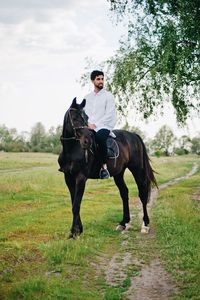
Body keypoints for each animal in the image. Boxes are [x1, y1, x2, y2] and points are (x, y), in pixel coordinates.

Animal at [58, 98, 157, 239]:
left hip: (137, 169)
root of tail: (134, 135)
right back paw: (123, 223)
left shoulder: (81, 177)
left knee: (142, 193)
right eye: (75, 118)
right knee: (124, 193)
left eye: (86, 118)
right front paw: (78, 230)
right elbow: (74, 203)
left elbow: (76, 205)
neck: (72, 150)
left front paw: (74, 232)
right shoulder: (68, 177)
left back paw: (145, 225)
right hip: (119, 173)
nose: (87, 141)